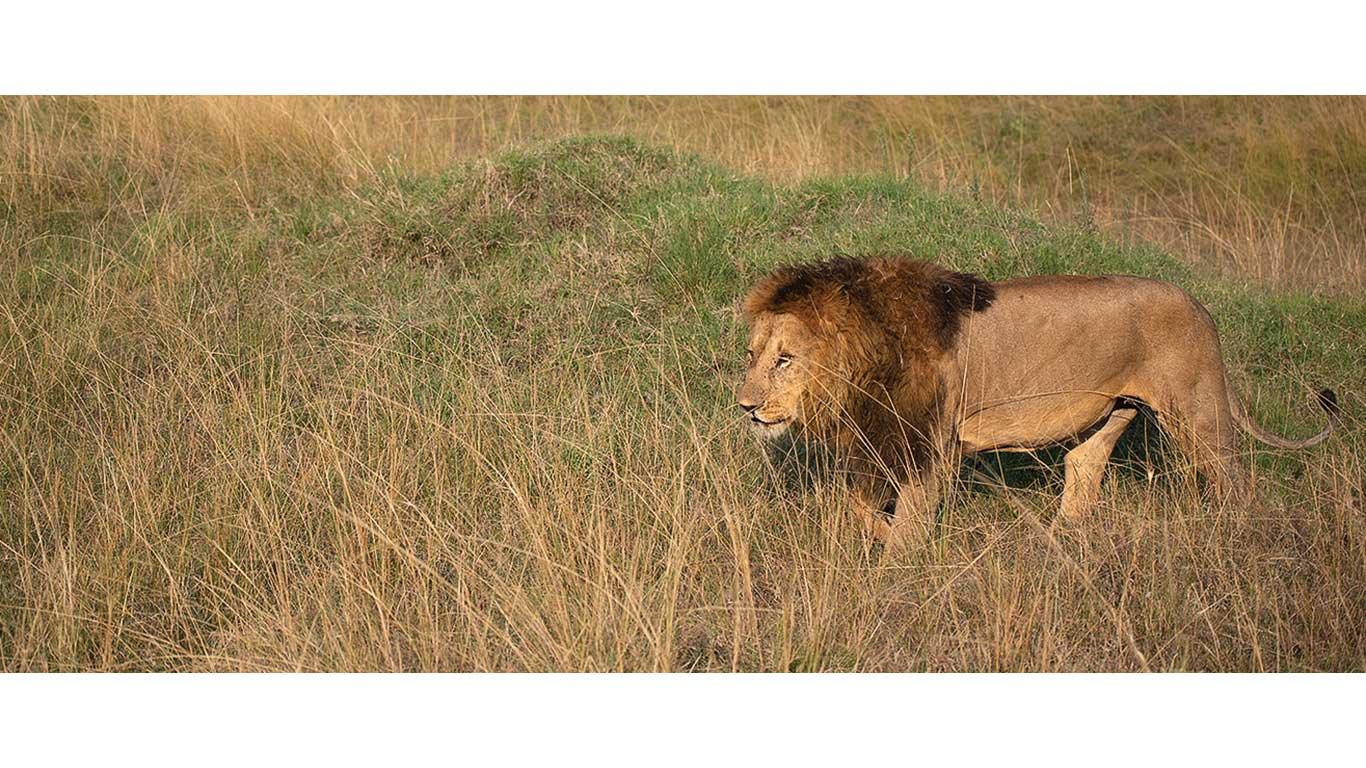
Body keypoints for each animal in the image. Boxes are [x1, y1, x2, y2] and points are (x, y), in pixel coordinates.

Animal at [736, 256, 1340, 545]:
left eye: (785, 360)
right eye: (752, 355)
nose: (745, 406)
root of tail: (1200, 305)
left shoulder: (934, 446)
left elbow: (907, 522)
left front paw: (903, 567)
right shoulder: (890, 442)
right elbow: (858, 508)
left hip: (1197, 414)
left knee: (1235, 481)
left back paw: (1239, 537)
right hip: (1115, 409)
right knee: (1084, 469)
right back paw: (1058, 543)